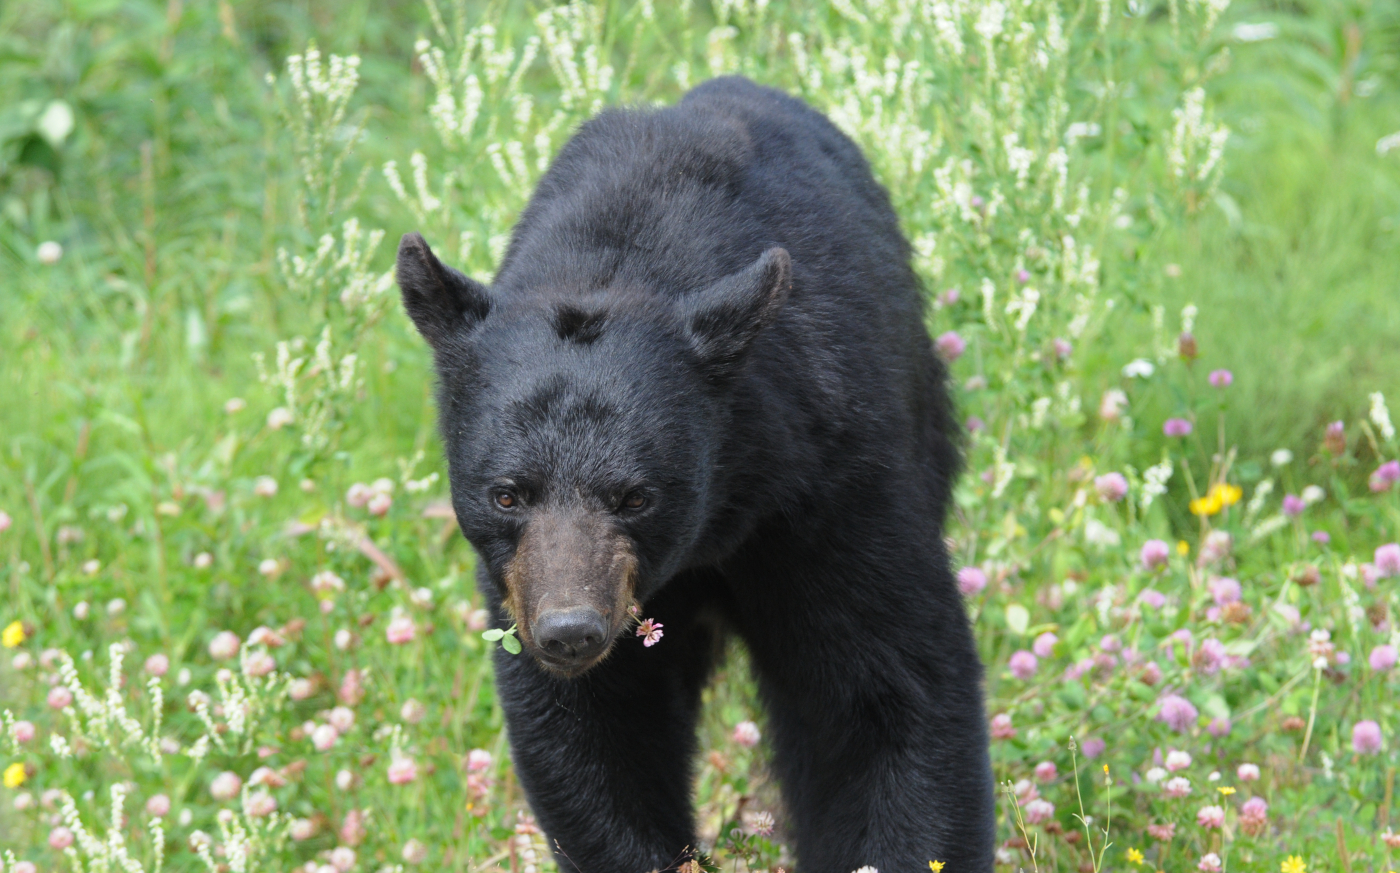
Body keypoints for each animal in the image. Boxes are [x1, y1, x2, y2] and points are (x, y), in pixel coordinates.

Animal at [397, 76, 996, 873]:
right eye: (507, 493)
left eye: (635, 496)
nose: (569, 631)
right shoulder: (525, 583)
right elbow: (593, 728)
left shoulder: (826, 482)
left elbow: (888, 684)